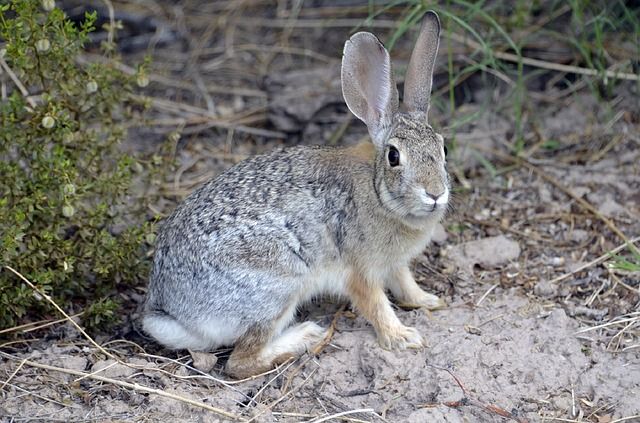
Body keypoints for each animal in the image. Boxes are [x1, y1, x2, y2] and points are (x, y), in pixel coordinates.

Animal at [142, 11, 448, 380]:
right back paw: (304, 336)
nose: (435, 194)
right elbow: (376, 305)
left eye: (443, 148)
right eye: (393, 156)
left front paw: (428, 300)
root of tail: (173, 312)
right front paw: (402, 337)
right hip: (278, 286)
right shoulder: (360, 270)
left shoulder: (395, 264)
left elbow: (404, 282)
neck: (378, 193)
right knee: (240, 362)